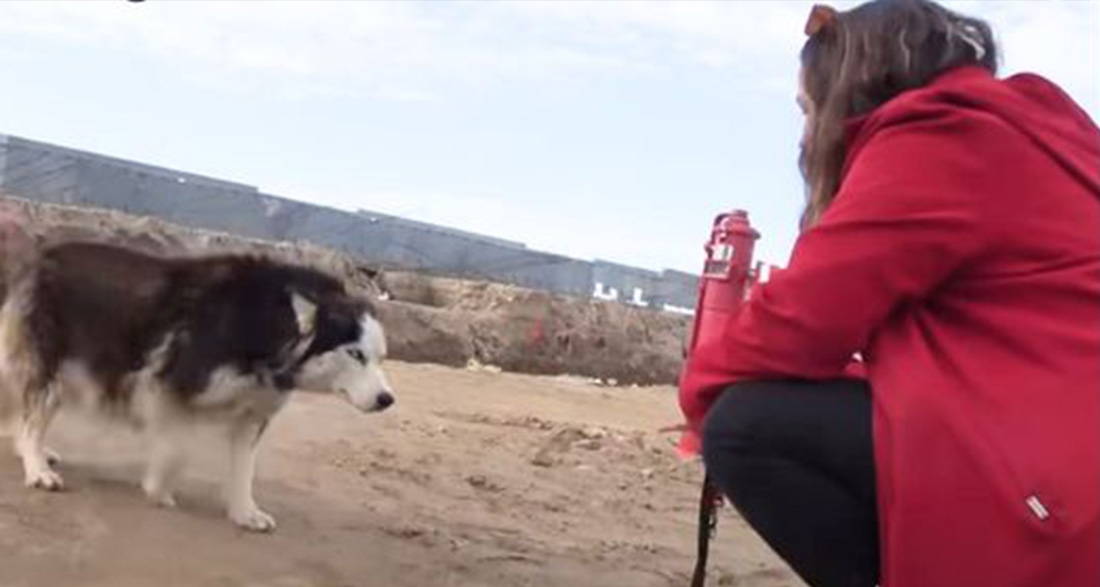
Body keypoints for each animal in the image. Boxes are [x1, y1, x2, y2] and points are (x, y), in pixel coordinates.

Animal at [0, 240, 396, 534]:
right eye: (355, 354)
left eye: (380, 358)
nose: (387, 399)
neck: (263, 323)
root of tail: (37, 257)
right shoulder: (172, 386)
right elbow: (178, 449)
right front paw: (158, 488)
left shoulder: (252, 413)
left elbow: (244, 469)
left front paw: (244, 512)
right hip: (51, 365)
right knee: (32, 417)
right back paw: (37, 467)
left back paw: (35, 452)